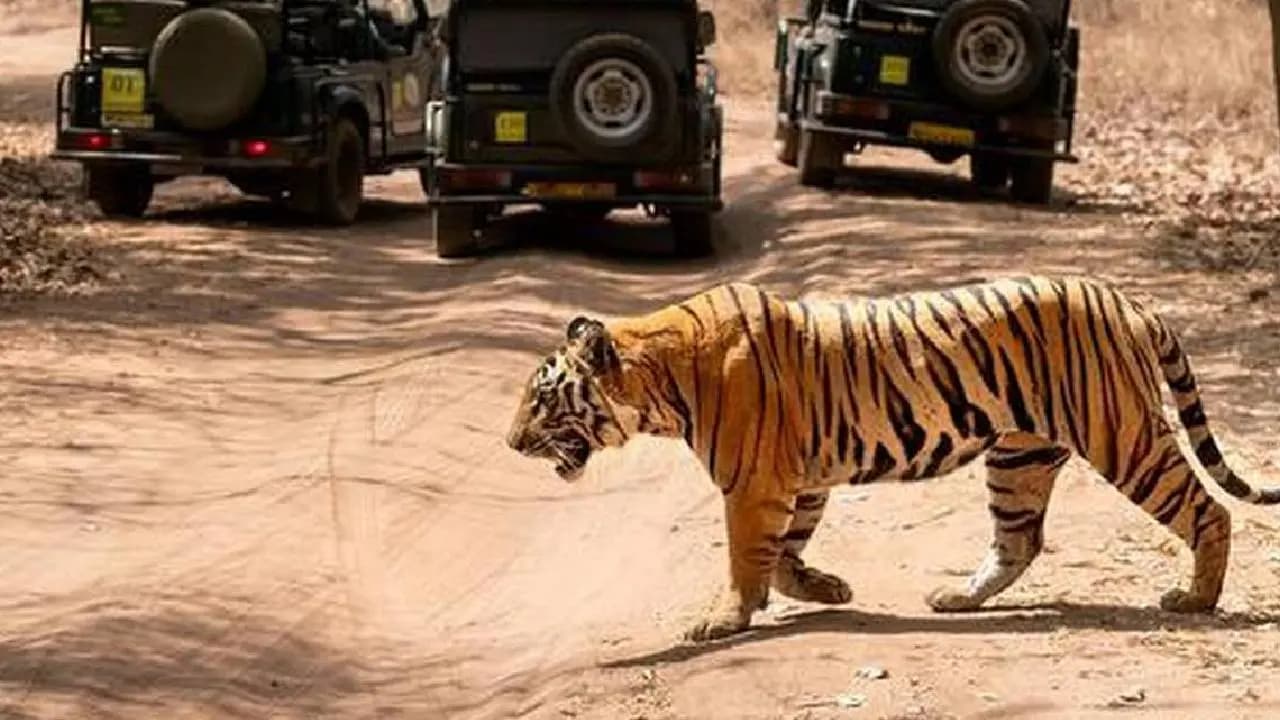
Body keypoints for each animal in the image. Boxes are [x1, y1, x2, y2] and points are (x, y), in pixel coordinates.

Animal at [505, 276, 1280, 642]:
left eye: (542, 398)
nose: (510, 443)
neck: (661, 379)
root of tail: (1129, 300)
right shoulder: (799, 479)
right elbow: (782, 555)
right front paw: (827, 588)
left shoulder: (754, 483)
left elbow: (746, 558)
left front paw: (724, 620)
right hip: (1019, 458)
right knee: (1018, 541)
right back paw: (956, 599)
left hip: (1124, 436)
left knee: (1207, 510)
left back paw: (1195, 598)